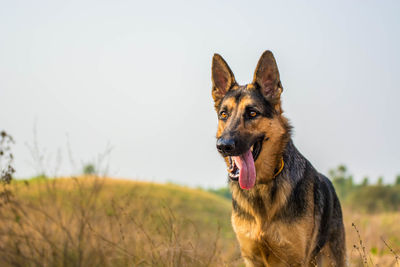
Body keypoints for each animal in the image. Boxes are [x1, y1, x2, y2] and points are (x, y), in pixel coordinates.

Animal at [211, 51, 346, 266]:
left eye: (252, 113)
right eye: (224, 114)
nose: (224, 146)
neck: (261, 185)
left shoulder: (294, 259)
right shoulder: (252, 258)